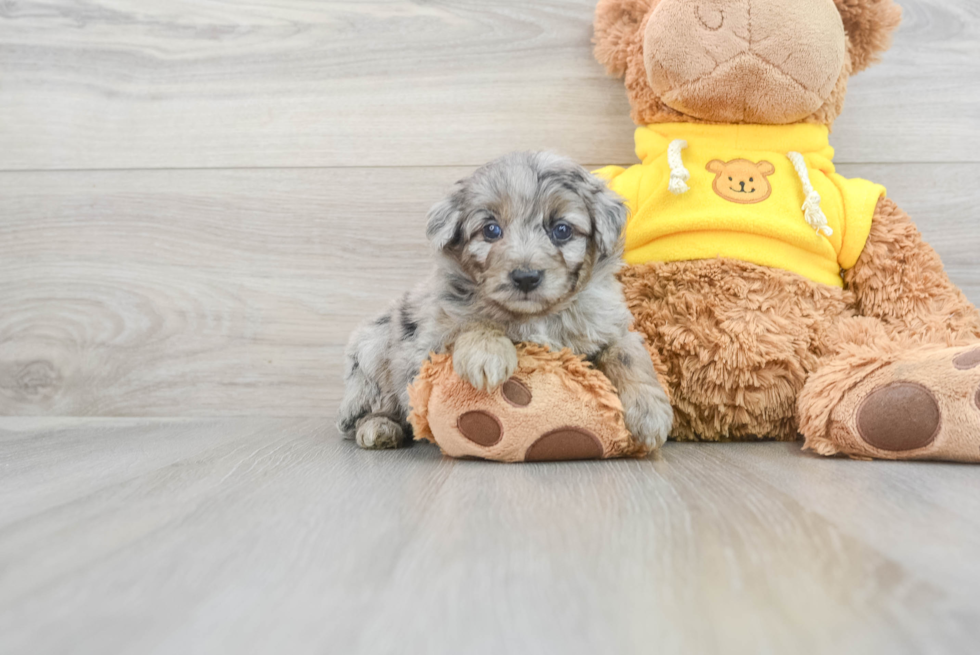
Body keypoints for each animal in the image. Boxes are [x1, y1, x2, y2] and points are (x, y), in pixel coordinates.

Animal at [338, 152, 672, 454]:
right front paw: (487, 355)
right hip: (373, 346)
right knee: (369, 409)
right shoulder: (429, 340)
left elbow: (627, 354)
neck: (536, 315)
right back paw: (379, 428)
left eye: (561, 230)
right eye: (491, 230)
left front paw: (650, 413)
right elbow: (469, 322)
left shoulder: (610, 325)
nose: (526, 277)